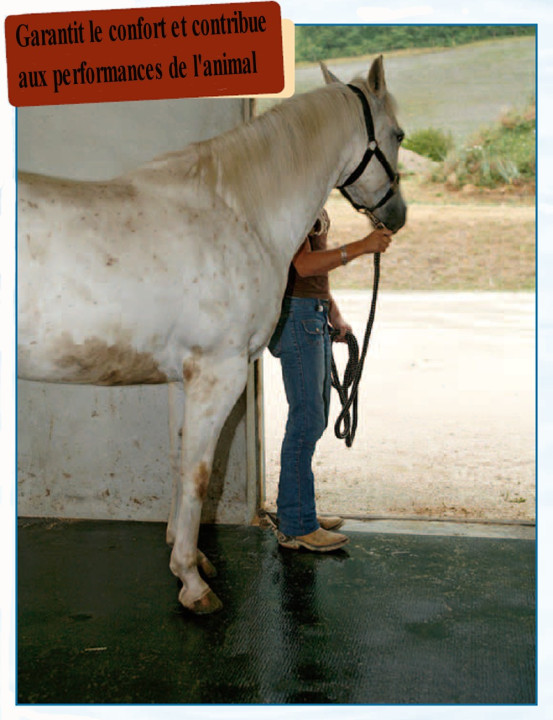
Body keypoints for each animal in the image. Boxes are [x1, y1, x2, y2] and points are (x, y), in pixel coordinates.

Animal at [18, 59, 406, 616]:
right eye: (397, 135)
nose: (397, 217)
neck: (239, 213)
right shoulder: (218, 375)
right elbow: (200, 473)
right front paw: (192, 583)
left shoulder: (183, 379)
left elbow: (180, 462)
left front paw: (193, 556)